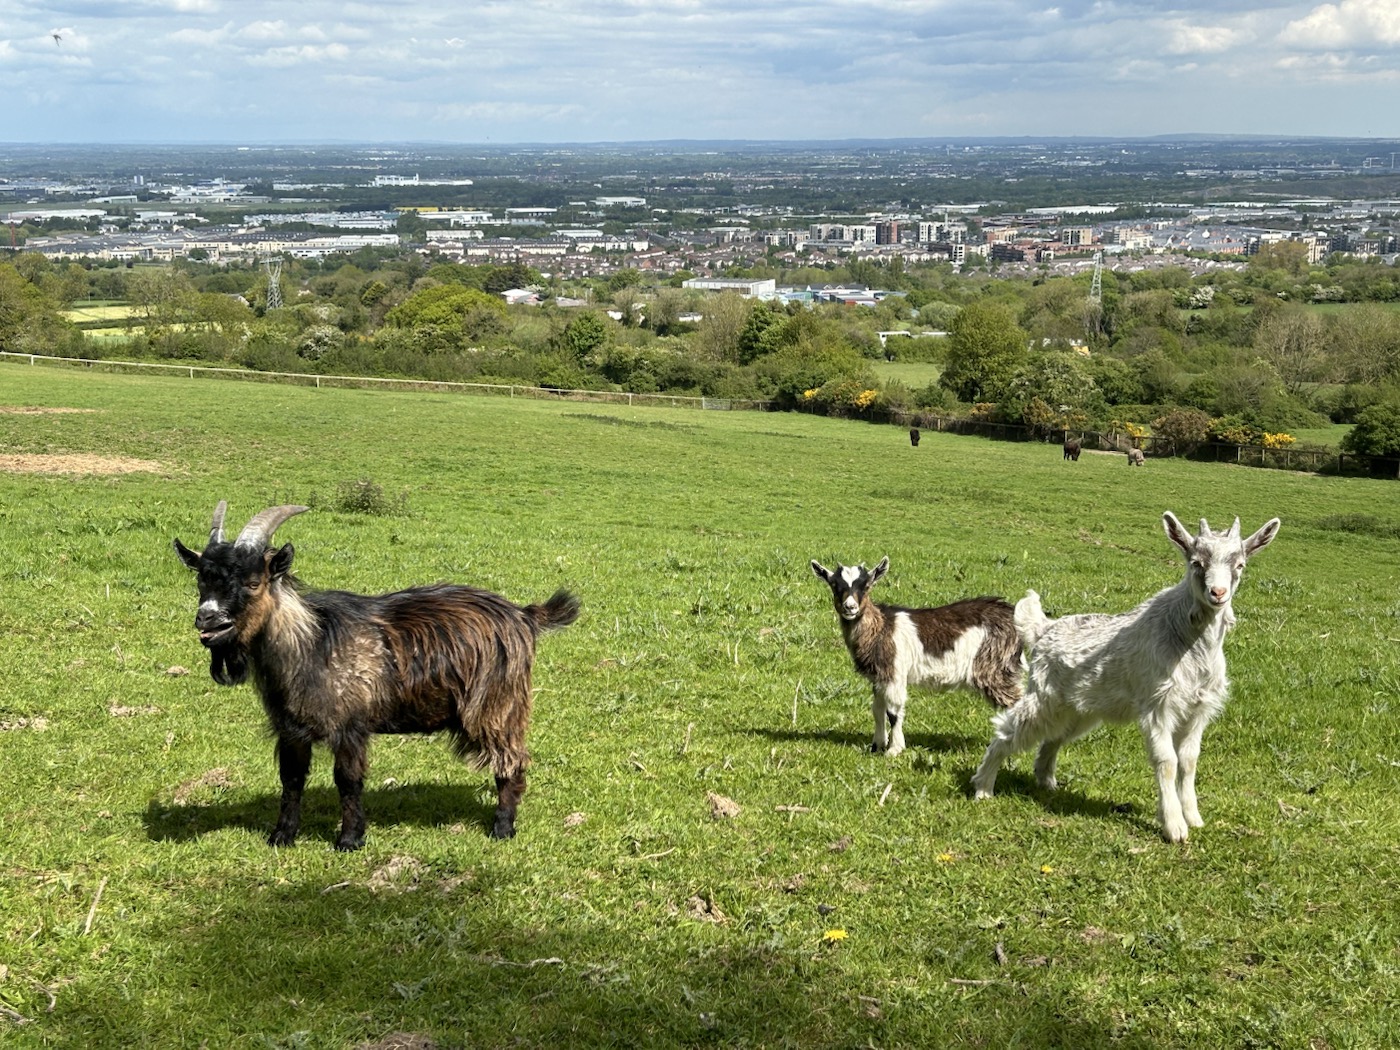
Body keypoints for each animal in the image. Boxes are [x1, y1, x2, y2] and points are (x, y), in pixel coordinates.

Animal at [173, 502, 579, 848]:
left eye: (253, 582)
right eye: (201, 581)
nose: (207, 620)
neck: (311, 643)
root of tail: (524, 615)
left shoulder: (350, 724)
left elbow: (348, 781)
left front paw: (350, 839)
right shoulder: (291, 728)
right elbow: (291, 780)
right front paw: (282, 836)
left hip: (498, 705)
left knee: (512, 761)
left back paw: (502, 828)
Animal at [810, 558, 1023, 757]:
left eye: (866, 585)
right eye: (834, 585)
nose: (850, 607)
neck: (881, 628)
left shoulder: (894, 673)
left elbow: (893, 712)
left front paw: (894, 749)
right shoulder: (879, 677)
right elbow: (877, 709)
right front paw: (876, 746)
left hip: (993, 666)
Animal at [971, 512, 1280, 843]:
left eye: (1240, 565)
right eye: (1196, 562)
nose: (1218, 593)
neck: (1189, 640)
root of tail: (1044, 628)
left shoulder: (1199, 708)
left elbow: (1189, 760)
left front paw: (1194, 818)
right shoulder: (1158, 704)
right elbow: (1167, 762)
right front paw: (1174, 827)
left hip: (1079, 708)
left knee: (1053, 737)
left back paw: (1046, 783)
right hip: (1045, 695)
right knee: (1007, 728)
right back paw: (983, 787)